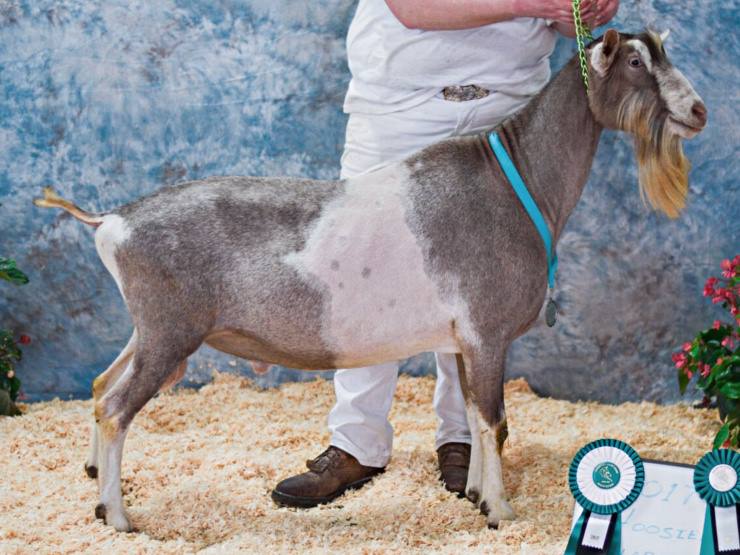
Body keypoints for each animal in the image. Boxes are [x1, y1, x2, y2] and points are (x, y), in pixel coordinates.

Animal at [34, 30, 706, 531]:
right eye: (638, 62)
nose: (699, 110)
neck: (516, 179)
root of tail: (111, 221)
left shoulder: (462, 341)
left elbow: (474, 416)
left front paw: (478, 497)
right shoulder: (487, 333)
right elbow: (496, 421)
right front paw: (501, 511)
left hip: (148, 330)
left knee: (100, 386)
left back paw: (93, 481)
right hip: (169, 332)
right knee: (116, 407)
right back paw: (117, 516)